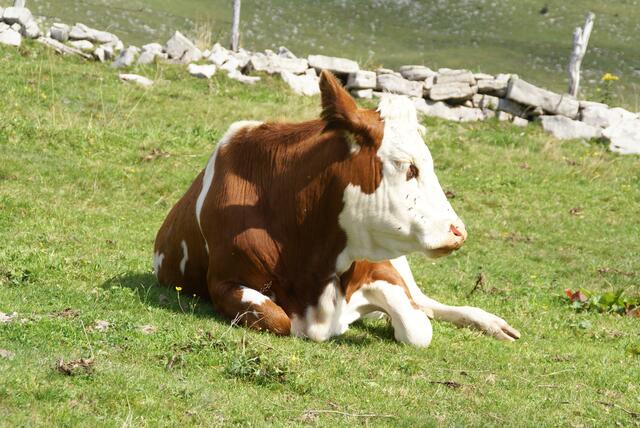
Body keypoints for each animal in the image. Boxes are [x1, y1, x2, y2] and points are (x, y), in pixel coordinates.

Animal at [153, 70, 520, 347]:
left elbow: (417, 327)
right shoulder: (224, 282)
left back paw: (490, 323)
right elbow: (278, 318)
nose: (458, 231)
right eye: (409, 167)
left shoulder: (380, 269)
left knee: (426, 303)